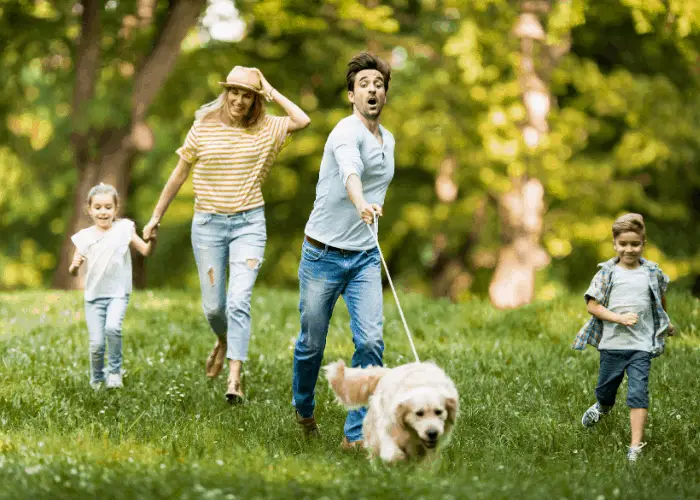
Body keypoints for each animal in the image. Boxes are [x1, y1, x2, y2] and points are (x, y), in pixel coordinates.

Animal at [324, 360, 460, 460]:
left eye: (439, 412)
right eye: (419, 413)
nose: (432, 433)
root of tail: (388, 372)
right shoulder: (388, 430)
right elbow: (393, 453)